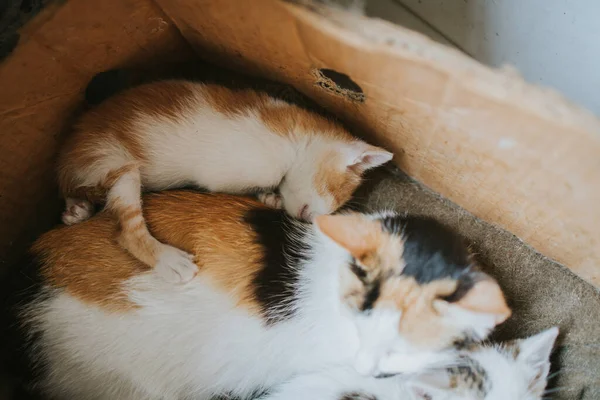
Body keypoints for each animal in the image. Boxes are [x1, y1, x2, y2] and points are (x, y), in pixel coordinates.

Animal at [57, 79, 394, 282]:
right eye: (334, 192)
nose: (310, 220)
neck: (295, 139)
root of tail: (66, 150)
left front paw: (270, 197)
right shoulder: (243, 170)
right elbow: (233, 186)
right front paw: (269, 194)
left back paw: (76, 210)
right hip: (116, 160)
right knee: (127, 229)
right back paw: (168, 260)